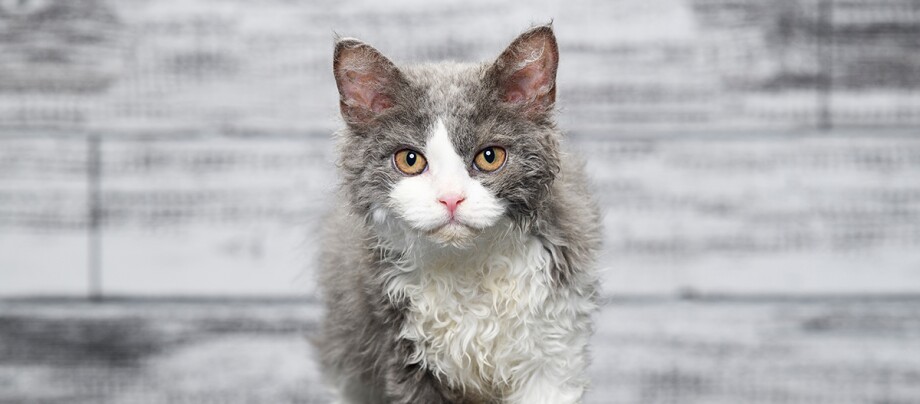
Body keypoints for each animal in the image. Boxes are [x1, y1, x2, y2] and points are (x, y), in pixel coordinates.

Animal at [316, 25, 604, 404]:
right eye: (410, 160)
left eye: (490, 157)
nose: (451, 199)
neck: (469, 269)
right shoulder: (404, 354)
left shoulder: (555, 349)